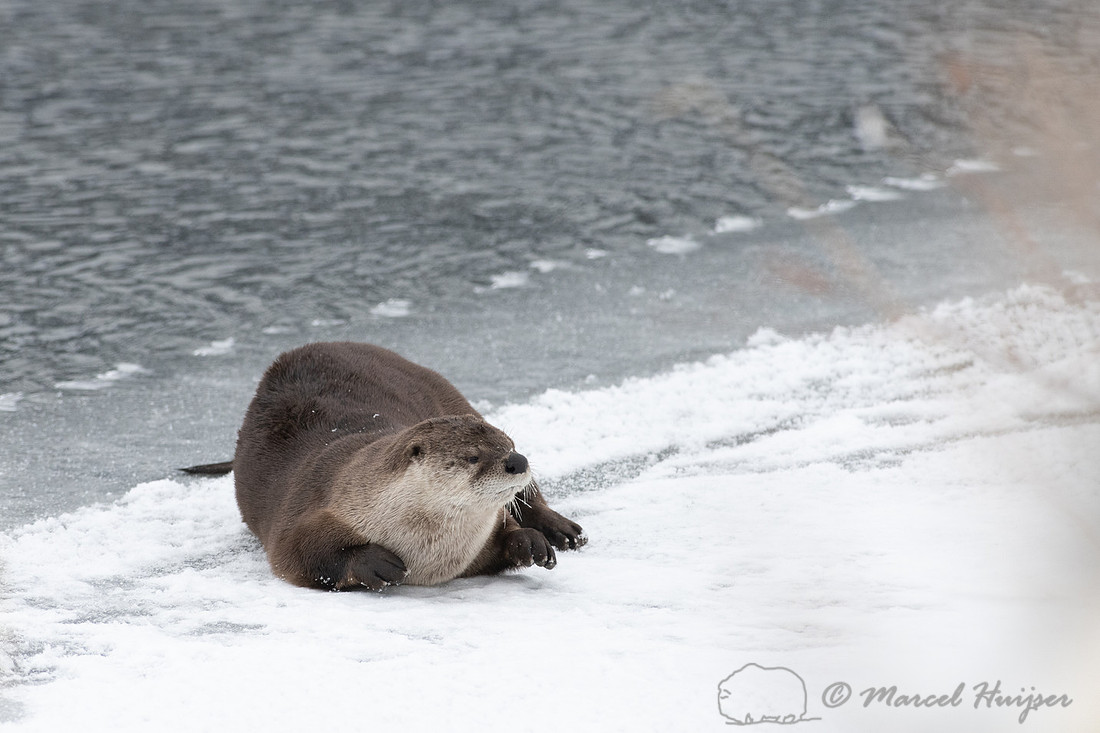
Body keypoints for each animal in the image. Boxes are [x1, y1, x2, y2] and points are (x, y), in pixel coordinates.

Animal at [183, 342, 585, 591]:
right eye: (474, 456)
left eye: (510, 444)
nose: (518, 461)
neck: (430, 551)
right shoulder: (308, 508)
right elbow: (294, 553)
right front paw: (373, 562)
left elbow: (504, 538)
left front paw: (528, 542)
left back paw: (561, 532)